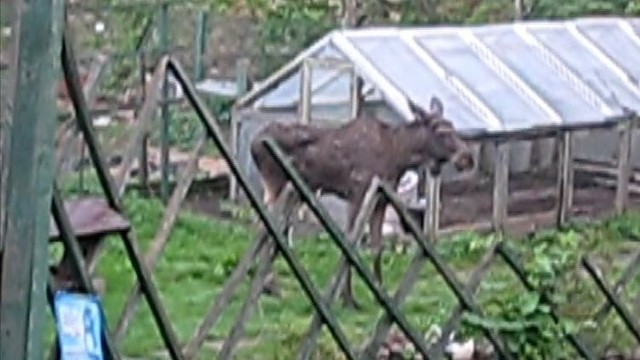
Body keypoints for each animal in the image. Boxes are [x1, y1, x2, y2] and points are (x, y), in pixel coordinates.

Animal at [250, 94, 476, 308]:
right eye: (440, 131)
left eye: (453, 126)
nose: (467, 158)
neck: (399, 156)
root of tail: (253, 144)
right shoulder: (357, 193)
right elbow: (353, 242)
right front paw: (348, 298)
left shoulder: (381, 200)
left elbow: (377, 245)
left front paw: (379, 293)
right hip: (276, 184)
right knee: (264, 226)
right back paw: (269, 285)